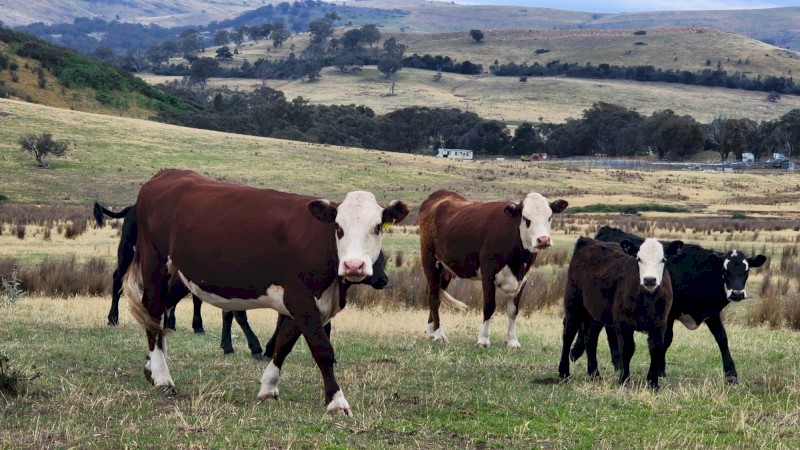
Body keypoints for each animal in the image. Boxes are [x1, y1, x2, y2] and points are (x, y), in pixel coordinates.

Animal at [124, 169, 408, 415]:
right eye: (338, 228)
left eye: (377, 227)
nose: (354, 265)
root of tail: (166, 174)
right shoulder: (300, 298)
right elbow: (322, 349)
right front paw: (336, 401)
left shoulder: (298, 304)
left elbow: (283, 345)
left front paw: (269, 388)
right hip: (155, 263)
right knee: (153, 311)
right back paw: (162, 376)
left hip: (180, 275)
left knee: (159, 315)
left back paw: (151, 366)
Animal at [418, 189, 568, 347]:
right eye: (526, 219)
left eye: (549, 217)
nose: (543, 240)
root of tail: (438, 194)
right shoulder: (488, 274)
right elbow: (489, 306)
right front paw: (483, 339)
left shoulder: (523, 279)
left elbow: (513, 310)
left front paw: (512, 341)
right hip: (429, 261)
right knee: (433, 297)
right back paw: (439, 334)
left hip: (444, 270)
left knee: (434, 294)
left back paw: (430, 331)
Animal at [559, 236, 682, 389]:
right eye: (638, 259)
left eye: (663, 259)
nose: (649, 279)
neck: (647, 299)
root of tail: (587, 241)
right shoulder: (623, 323)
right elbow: (627, 349)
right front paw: (624, 379)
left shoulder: (660, 323)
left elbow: (655, 349)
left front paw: (653, 382)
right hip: (573, 306)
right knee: (568, 336)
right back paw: (564, 373)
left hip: (596, 315)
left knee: (590, 339)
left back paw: (595, 374)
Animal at [570, 226, 767, 383]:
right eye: (725, 270)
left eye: (746, 271)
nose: (737, 293)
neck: (698, 272)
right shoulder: (669, 314)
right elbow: (666, 340)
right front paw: (660, 370)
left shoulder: (711, 314)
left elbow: (722, 339)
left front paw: (731, 374)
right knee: (593, 333)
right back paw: (580, 354)